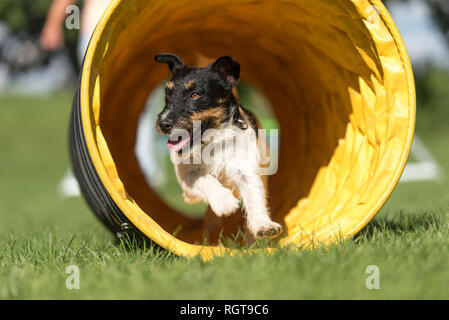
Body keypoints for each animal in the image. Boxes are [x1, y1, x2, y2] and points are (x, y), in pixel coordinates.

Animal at [154, 53, 280, 238]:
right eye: (168, 94)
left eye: (195, 94)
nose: (163, 124)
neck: (212, 141)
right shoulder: (187, 175)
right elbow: (205, 179)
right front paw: (224, 202)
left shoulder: (245, 169)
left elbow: (253, 195)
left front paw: (263, 224)